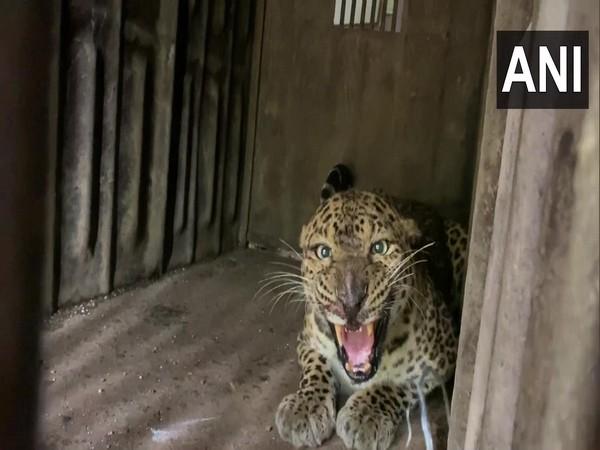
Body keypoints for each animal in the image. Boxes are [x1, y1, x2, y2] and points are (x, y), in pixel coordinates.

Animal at [276, 165, 468, 450]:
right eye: (323, 252)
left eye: (380, 247)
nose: (350, 301)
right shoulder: (307, 339)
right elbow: (316, 368)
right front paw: (306, 406)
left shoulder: (445, 355)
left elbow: (401, 383)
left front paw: (366, 415)